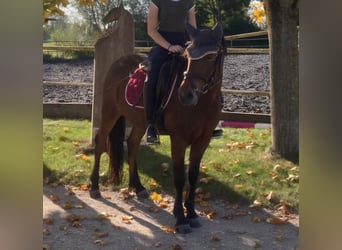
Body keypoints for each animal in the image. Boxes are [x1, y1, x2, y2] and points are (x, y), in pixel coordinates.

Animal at [89, 22, 226, 233]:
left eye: (210, 57)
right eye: (187, 56)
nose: (185, 95)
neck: (202, 103)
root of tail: (119, 62)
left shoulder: (202, 140)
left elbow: (193, 176)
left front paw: (192, 213)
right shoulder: (179, 139)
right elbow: (179, 177)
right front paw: (180, 218)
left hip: (139, 122)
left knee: (132, 145)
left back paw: (137, 187)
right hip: (110, 112)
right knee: (100, 142)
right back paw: (94, 187)